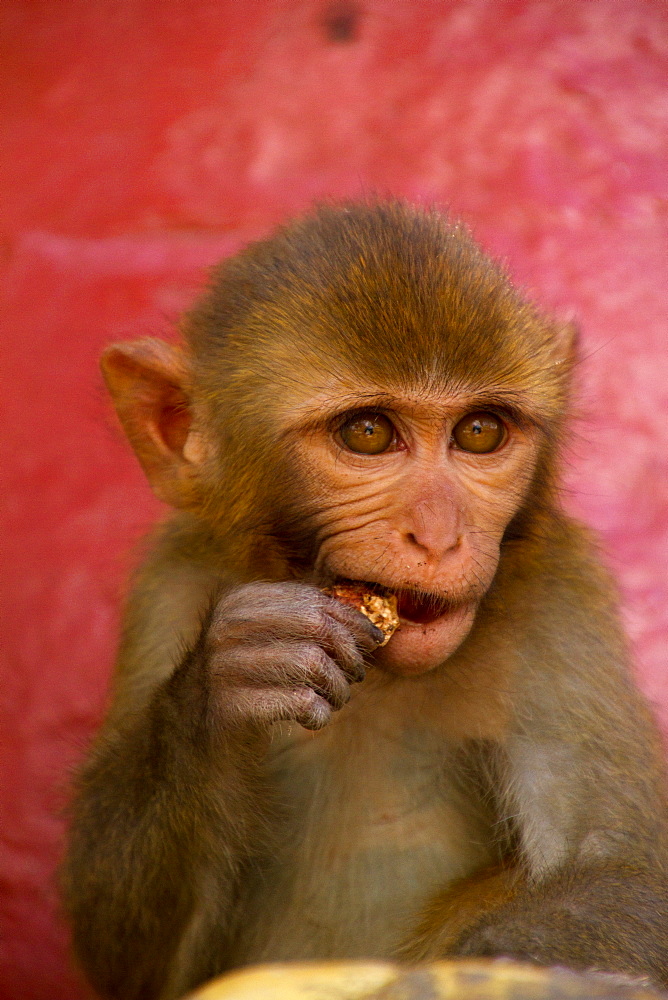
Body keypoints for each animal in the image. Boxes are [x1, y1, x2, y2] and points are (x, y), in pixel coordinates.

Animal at [64, 201, 668, 1000]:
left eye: (480, 431)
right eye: (369, 432)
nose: (440, 537)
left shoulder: (559, 597)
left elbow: (625, 864)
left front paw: (467, 970)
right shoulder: (172, 580)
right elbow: (128, 958)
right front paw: (227, 681)